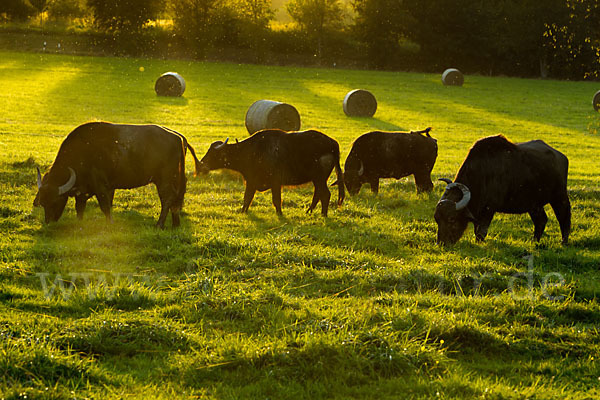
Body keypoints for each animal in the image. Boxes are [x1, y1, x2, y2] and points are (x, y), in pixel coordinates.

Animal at [33, 121, 202, 228]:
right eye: (43, 202)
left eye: (55, 201)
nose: (49, 222)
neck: (83, 152)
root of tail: (178, 137)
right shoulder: (85, 190)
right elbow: (80, 207)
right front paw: (79, 222)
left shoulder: (101, 186)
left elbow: (105, 206)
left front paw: (110, 223)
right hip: (175, 179)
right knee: (176, 199)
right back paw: (175, 223)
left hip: (164, 179)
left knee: (167, 199)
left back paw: (159, 224)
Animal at [199, 128, 344, 216]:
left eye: (213, 154)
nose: (201, 164)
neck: (251, 151)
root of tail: (332, 143)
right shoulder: (251, 181)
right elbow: (247, 198)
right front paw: (243, 212)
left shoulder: (274, 182)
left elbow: (276, 200)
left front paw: (280, 214)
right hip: (317, 179)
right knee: (318, 193)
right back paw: (309, 211)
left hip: (319, 178)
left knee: (325, 194)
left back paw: (323, 214)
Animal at [434, 136, 568, 245]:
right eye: (436, 219)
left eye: (451, 219)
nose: (442, 243)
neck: (481, 173)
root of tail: (561, 157)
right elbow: (477, 229)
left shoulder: (489, 209)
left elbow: (481, 231)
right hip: (534, 205)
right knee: (541, 221)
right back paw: (534, 241)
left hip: (560, 196)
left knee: (564, 217)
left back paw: (564, 242)